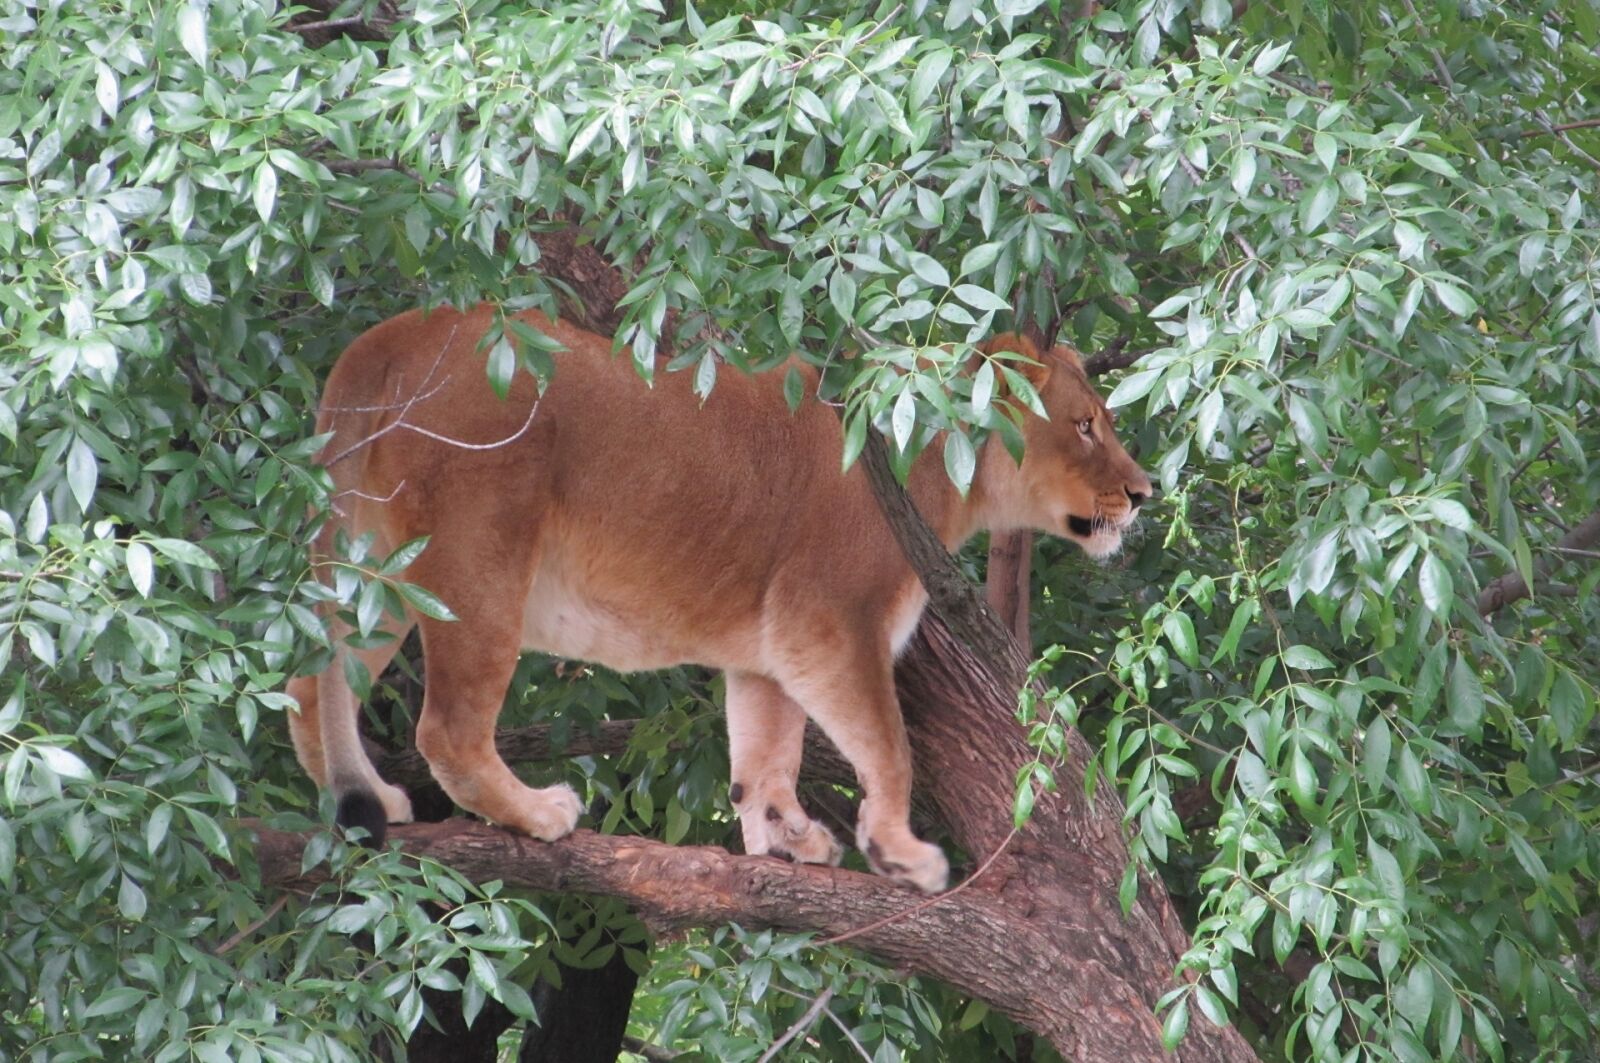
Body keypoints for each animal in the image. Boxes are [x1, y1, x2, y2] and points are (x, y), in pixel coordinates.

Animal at [285, 305, 1152, 893]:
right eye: (1085, 424)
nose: (1145, 492)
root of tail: (385, 341)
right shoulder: (834, 620)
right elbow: (888, 744)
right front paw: (900, 852)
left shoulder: (774, 648)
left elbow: (766, 755)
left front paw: (789, 838)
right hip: (481, 562)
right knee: (448, 727)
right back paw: (538, 813)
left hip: (382, 570)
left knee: (311, 682)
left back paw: (359, 795)